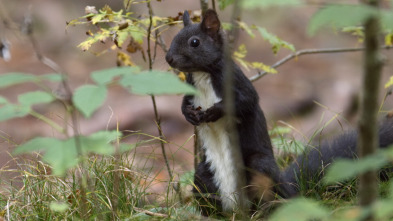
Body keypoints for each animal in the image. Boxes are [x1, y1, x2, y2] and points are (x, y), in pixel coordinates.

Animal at [164, 9, 392, 215]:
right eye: (174, 37)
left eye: (195, 42)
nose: (168, 58)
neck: (202, 75)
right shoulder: (191, 90)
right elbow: (185, 102)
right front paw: (188, 113)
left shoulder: (237, 83)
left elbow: (245, 102)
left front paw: (213, 112)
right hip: (204, 176)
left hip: (259, 167)